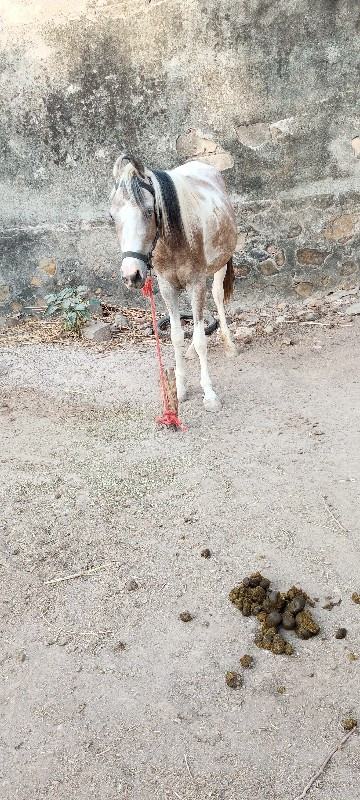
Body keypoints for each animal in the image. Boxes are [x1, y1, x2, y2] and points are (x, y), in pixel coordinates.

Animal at [111, 154, 238, 410]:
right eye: (112, 216)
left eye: (149, 211)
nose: (131, 275)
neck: (175, 240)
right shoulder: (168, 288)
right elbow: (177, 335)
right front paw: (179, 389)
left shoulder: (196, 284)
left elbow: (200, 340)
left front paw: (209, 393)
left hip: (219, 265)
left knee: (217, 297)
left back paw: (229, 344)